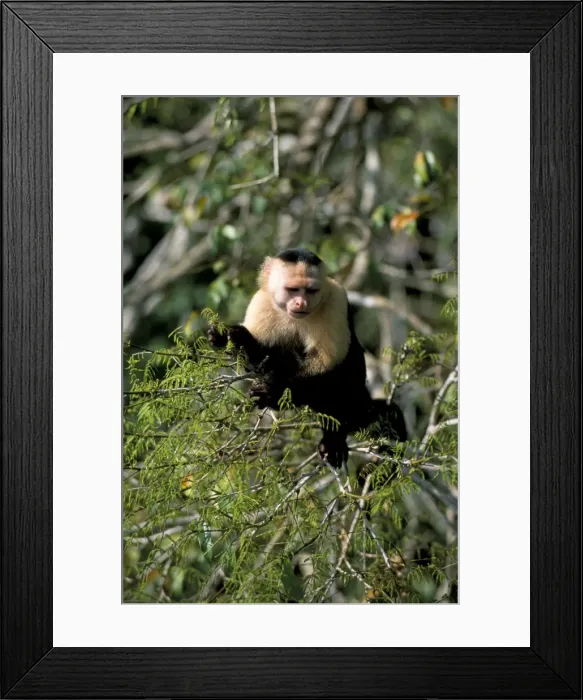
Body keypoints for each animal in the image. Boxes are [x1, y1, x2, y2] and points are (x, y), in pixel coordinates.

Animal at [208, 248, 406, 467]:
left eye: (310, 291)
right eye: (293, 289)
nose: (301, 302)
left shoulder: (335, 299)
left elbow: (330, 368)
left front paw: (275, 390)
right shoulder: (261, 303)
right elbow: (257, 360)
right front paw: (230, 337)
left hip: (356, 401)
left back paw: (333, 437)